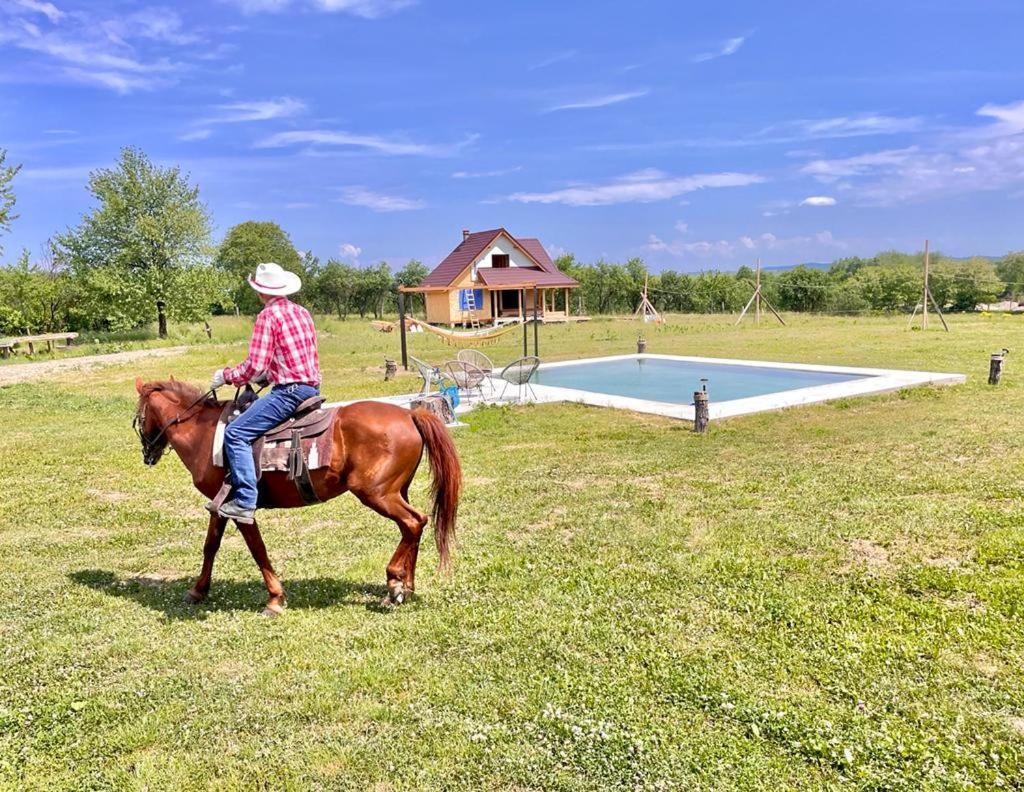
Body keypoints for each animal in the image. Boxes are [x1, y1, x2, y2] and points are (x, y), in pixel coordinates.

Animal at [132, 379, 460, 614]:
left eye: (138, 416)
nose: (147, 453)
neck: (207, 434)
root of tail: (410, 413)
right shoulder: (219, 506)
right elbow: (210, 546)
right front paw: (198, 590)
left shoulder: (240, 508)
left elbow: (258, 549)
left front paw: (275, 599)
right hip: (396, 491)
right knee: (413, 526)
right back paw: (406, 585)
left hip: (376, 493)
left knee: (414, 522)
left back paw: (394, 584)